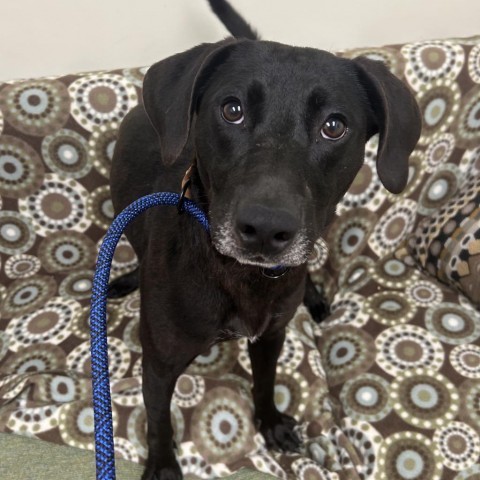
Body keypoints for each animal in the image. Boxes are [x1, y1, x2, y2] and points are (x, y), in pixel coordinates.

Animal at [109, 1, 420, 478]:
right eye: (232, 109)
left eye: (335, 125)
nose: (266, 229)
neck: (243, 277)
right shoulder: (159, 364)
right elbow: (159, 421)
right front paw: (162, 465)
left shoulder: (272, 334)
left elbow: (266, 381)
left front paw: (270, 422)